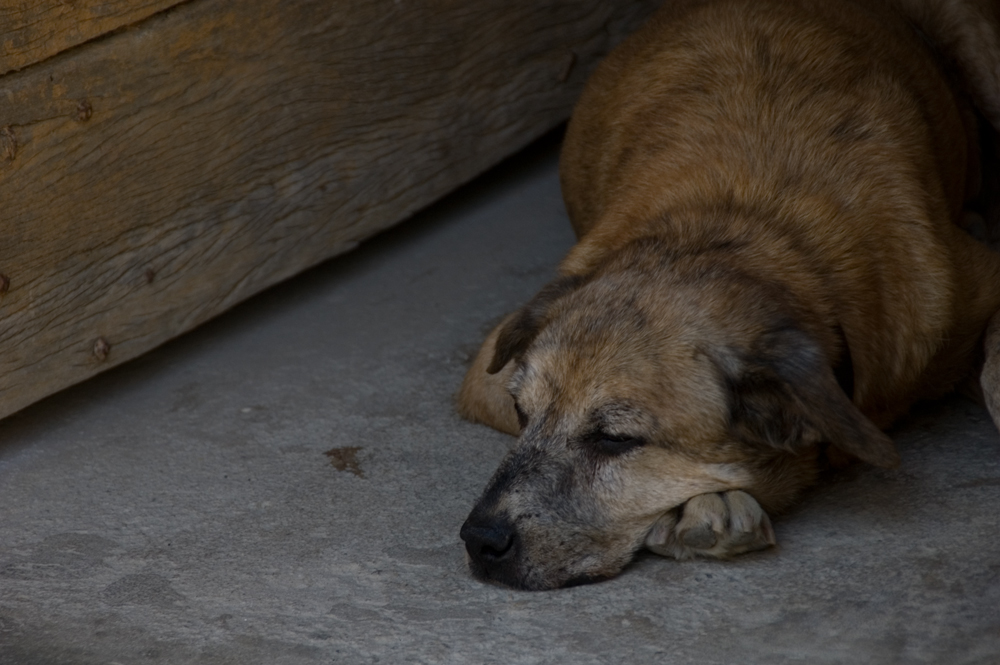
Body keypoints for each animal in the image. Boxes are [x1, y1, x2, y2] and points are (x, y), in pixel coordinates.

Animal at [454, 0, 1000, 592]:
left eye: (615, 439)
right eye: (520, 410)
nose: (479, 542)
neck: (745, 228)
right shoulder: (485, 376)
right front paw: (708, 502)